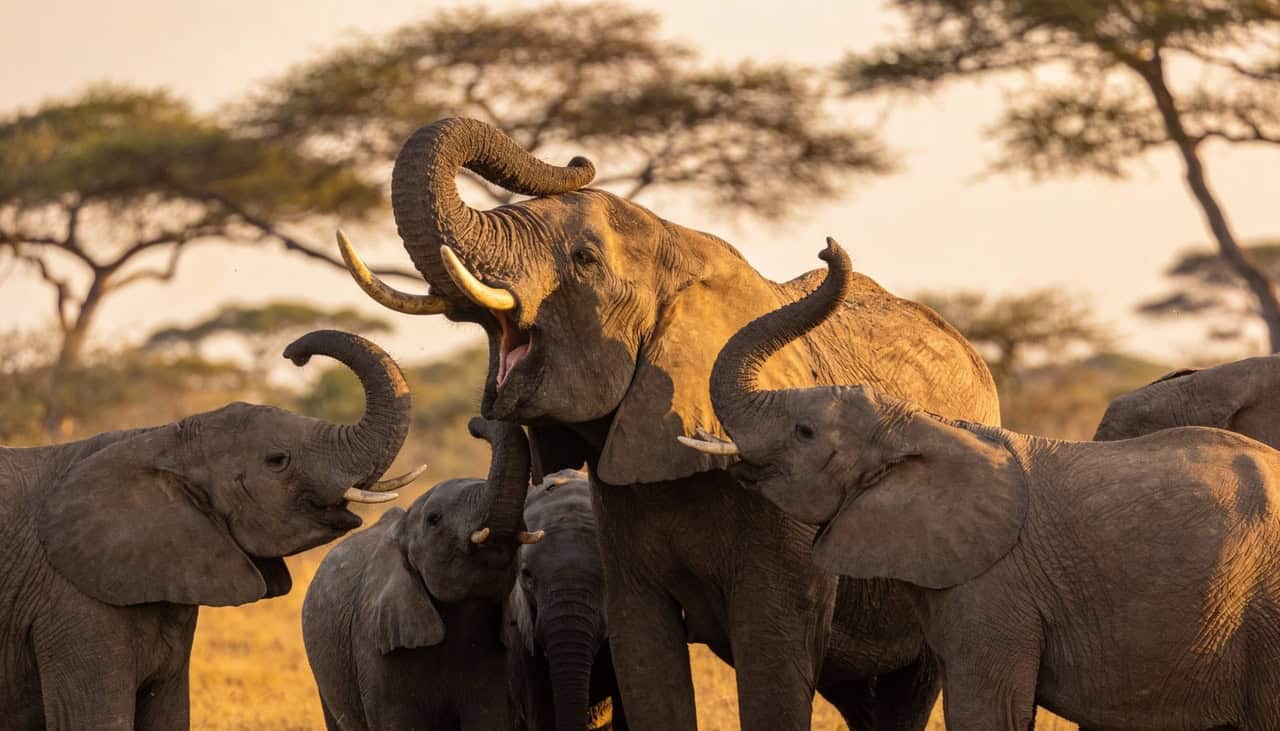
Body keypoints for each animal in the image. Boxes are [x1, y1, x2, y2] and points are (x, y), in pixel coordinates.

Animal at [0, 329, 419, 730]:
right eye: (278, 461)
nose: (294, 353)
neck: (159, 440)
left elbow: (168, 718)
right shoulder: (71, 601)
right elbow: (95, 720)